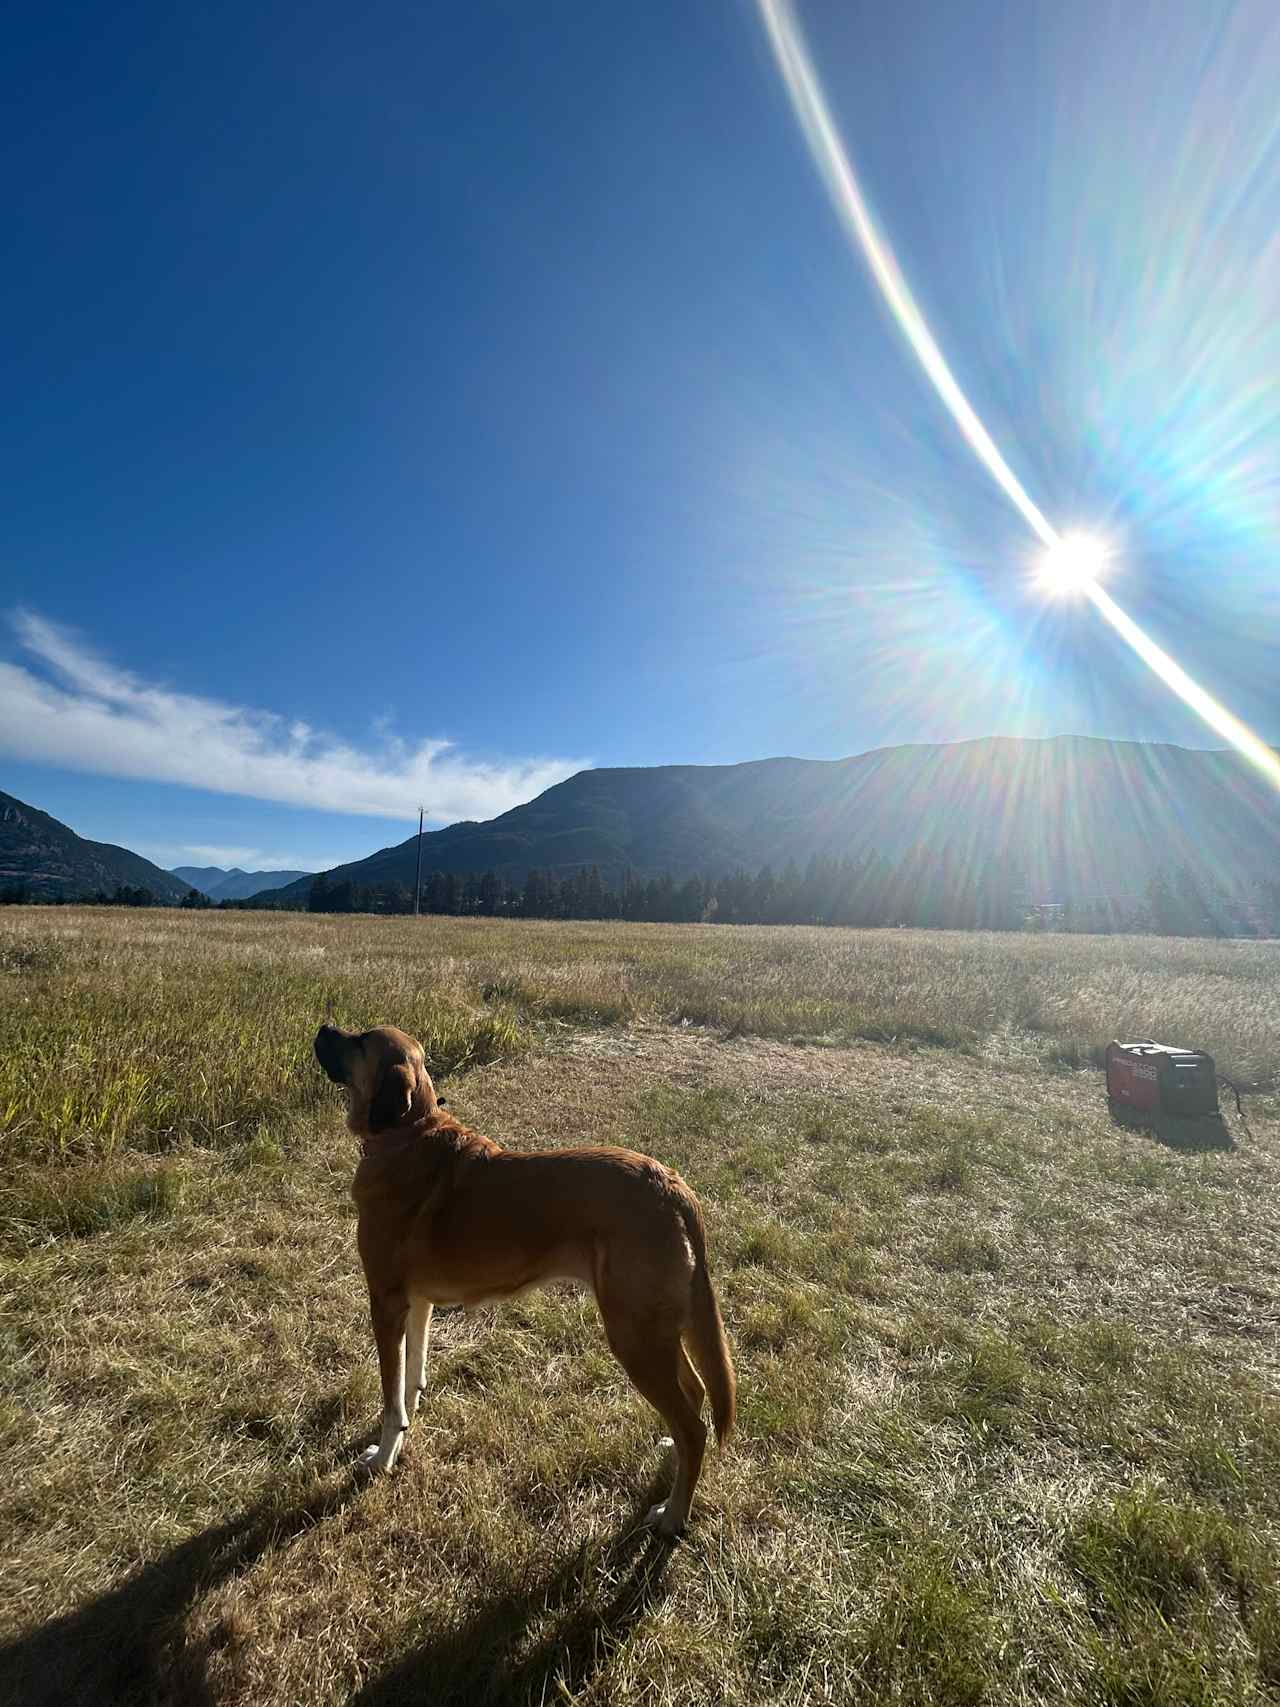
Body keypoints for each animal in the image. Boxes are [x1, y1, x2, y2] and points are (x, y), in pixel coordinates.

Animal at [314, 1017, 737, 1543]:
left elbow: (391, 1398)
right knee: (693, 1399)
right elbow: (412, 1378)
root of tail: (672, 1186)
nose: (322, 1028)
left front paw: (383, 1458)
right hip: (653, 1328)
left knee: (694, 1426)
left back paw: (674, 1514)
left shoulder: (385, 1303)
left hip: (634, 1335)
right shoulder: (418, 1304)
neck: (408, 1133)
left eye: (361, 1041)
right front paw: (403, 1433)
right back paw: (670, 1457)